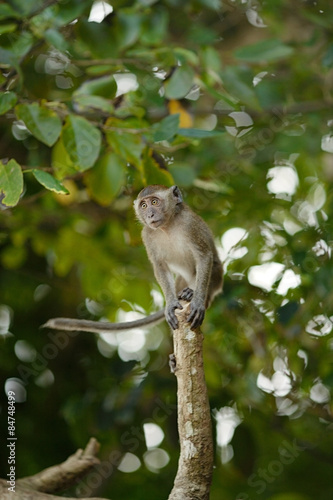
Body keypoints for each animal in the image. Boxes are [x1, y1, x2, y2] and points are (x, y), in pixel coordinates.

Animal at [43, 186, 220, 334]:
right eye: (144, 206)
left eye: (154, 202)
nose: (150, 214)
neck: (167, 226)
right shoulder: (147, 235)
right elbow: (160, 266)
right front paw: (170, 303)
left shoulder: (190, 224)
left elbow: (204, 256)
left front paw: (197, 301)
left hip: (214, 280)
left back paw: (192, 292)